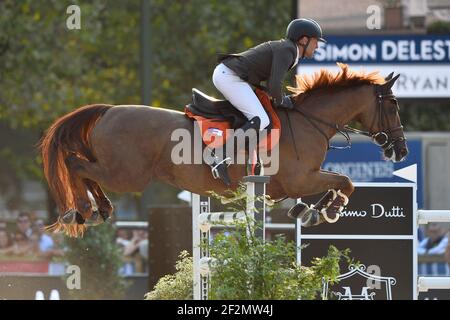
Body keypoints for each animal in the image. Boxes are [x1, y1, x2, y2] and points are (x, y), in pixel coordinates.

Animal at [41, 63, 408, 236]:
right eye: (392, 105)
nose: (401, 151)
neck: (308, 120)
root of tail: (108, 110)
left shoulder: (298, 181)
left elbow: (338, 182)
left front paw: (310, 211)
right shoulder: (301, 178)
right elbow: (345, 182)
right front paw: (327, 210)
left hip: (119, 170)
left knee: (82, 167)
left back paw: (98, 209)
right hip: (126, 174)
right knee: (76, 164)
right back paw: (81, 210)